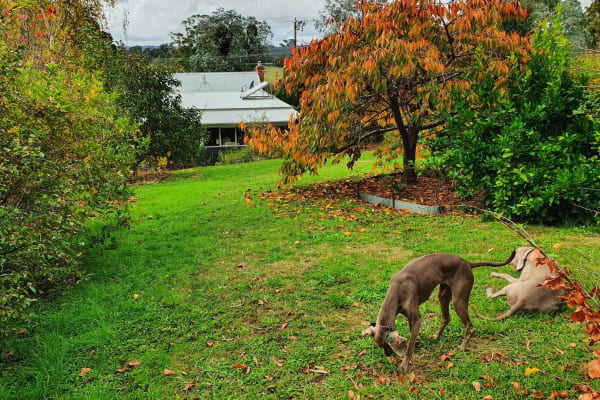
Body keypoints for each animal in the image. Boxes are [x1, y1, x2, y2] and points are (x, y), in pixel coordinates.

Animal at [360, 252, 516, 370]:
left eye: (387, 344)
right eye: (380, 345)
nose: (388, 355)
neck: (397, 291)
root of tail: (467, 263)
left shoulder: (417, 319)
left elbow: (409, 345)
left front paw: (405, 363)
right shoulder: (411, 318)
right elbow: (412, 337)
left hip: (459, 301)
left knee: (470, 328)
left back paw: (461, 348)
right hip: (443, 294)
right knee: (446, 318)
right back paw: (436, 336)